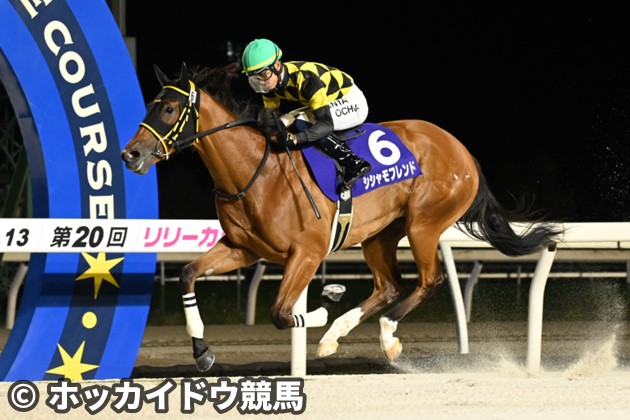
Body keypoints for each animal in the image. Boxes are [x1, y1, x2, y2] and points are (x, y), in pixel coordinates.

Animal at [121, 62, 562, 371]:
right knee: (389, 285)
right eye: (150, 105)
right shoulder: (244, 248)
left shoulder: (307, 252)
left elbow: (281, 314)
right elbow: (187, 274)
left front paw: (323, 303)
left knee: (429, 280)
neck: (255, 171)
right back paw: (335, 335)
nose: (131, 154)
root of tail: (462, 151)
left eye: (169, 108)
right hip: (380, 233)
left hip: (424, 222)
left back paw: (386, 337)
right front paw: (202, 352)